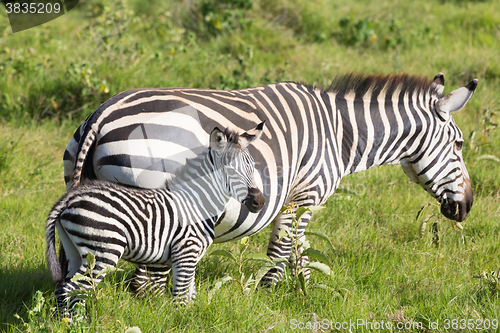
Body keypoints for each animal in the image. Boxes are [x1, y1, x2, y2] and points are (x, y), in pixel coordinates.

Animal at [46, 122, 266, 314]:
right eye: (231, 170)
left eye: (253, 167)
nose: (260, 201)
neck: (198, 202)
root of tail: (69, 198)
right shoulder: (185, 253)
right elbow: (181, 299)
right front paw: (181, 321)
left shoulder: (191, 257)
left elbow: (191, 297)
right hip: (103, 251)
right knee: (73, 289)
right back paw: (78, 324)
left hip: (75, 251)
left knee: (63, 288)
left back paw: (63, 323)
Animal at [61, 72, 476, 286]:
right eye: (458, 144)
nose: (467, 207)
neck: (341, 133)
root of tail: (103, 112)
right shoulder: (306, 194)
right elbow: (286, 247)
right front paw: (277, 291)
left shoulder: (292, 198)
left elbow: (295, 248)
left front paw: (299, 290)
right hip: (150, 205)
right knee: (145, 275)